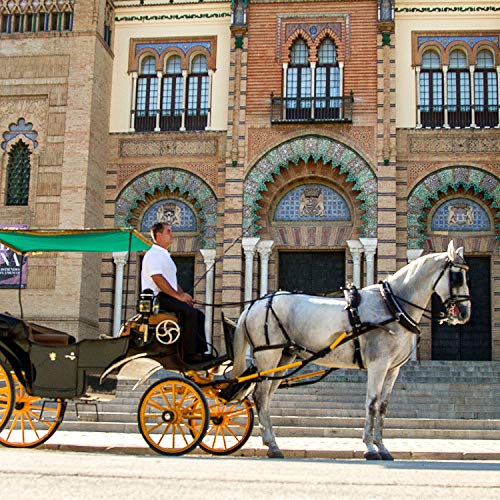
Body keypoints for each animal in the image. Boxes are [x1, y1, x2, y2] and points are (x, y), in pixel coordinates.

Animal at [232, 240, 470, 458]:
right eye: (458, 277)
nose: (465, 312)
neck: (391, 305)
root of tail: (254, 305)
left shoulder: (393, 369)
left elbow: (383, 406)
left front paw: (383, 447)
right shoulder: (377, 365)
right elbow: (371, 403)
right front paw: (370, 447)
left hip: (283, 358)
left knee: (267, 397)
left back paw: (272, 443)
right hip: (268, 355)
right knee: (260, 396)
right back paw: (272, 445)